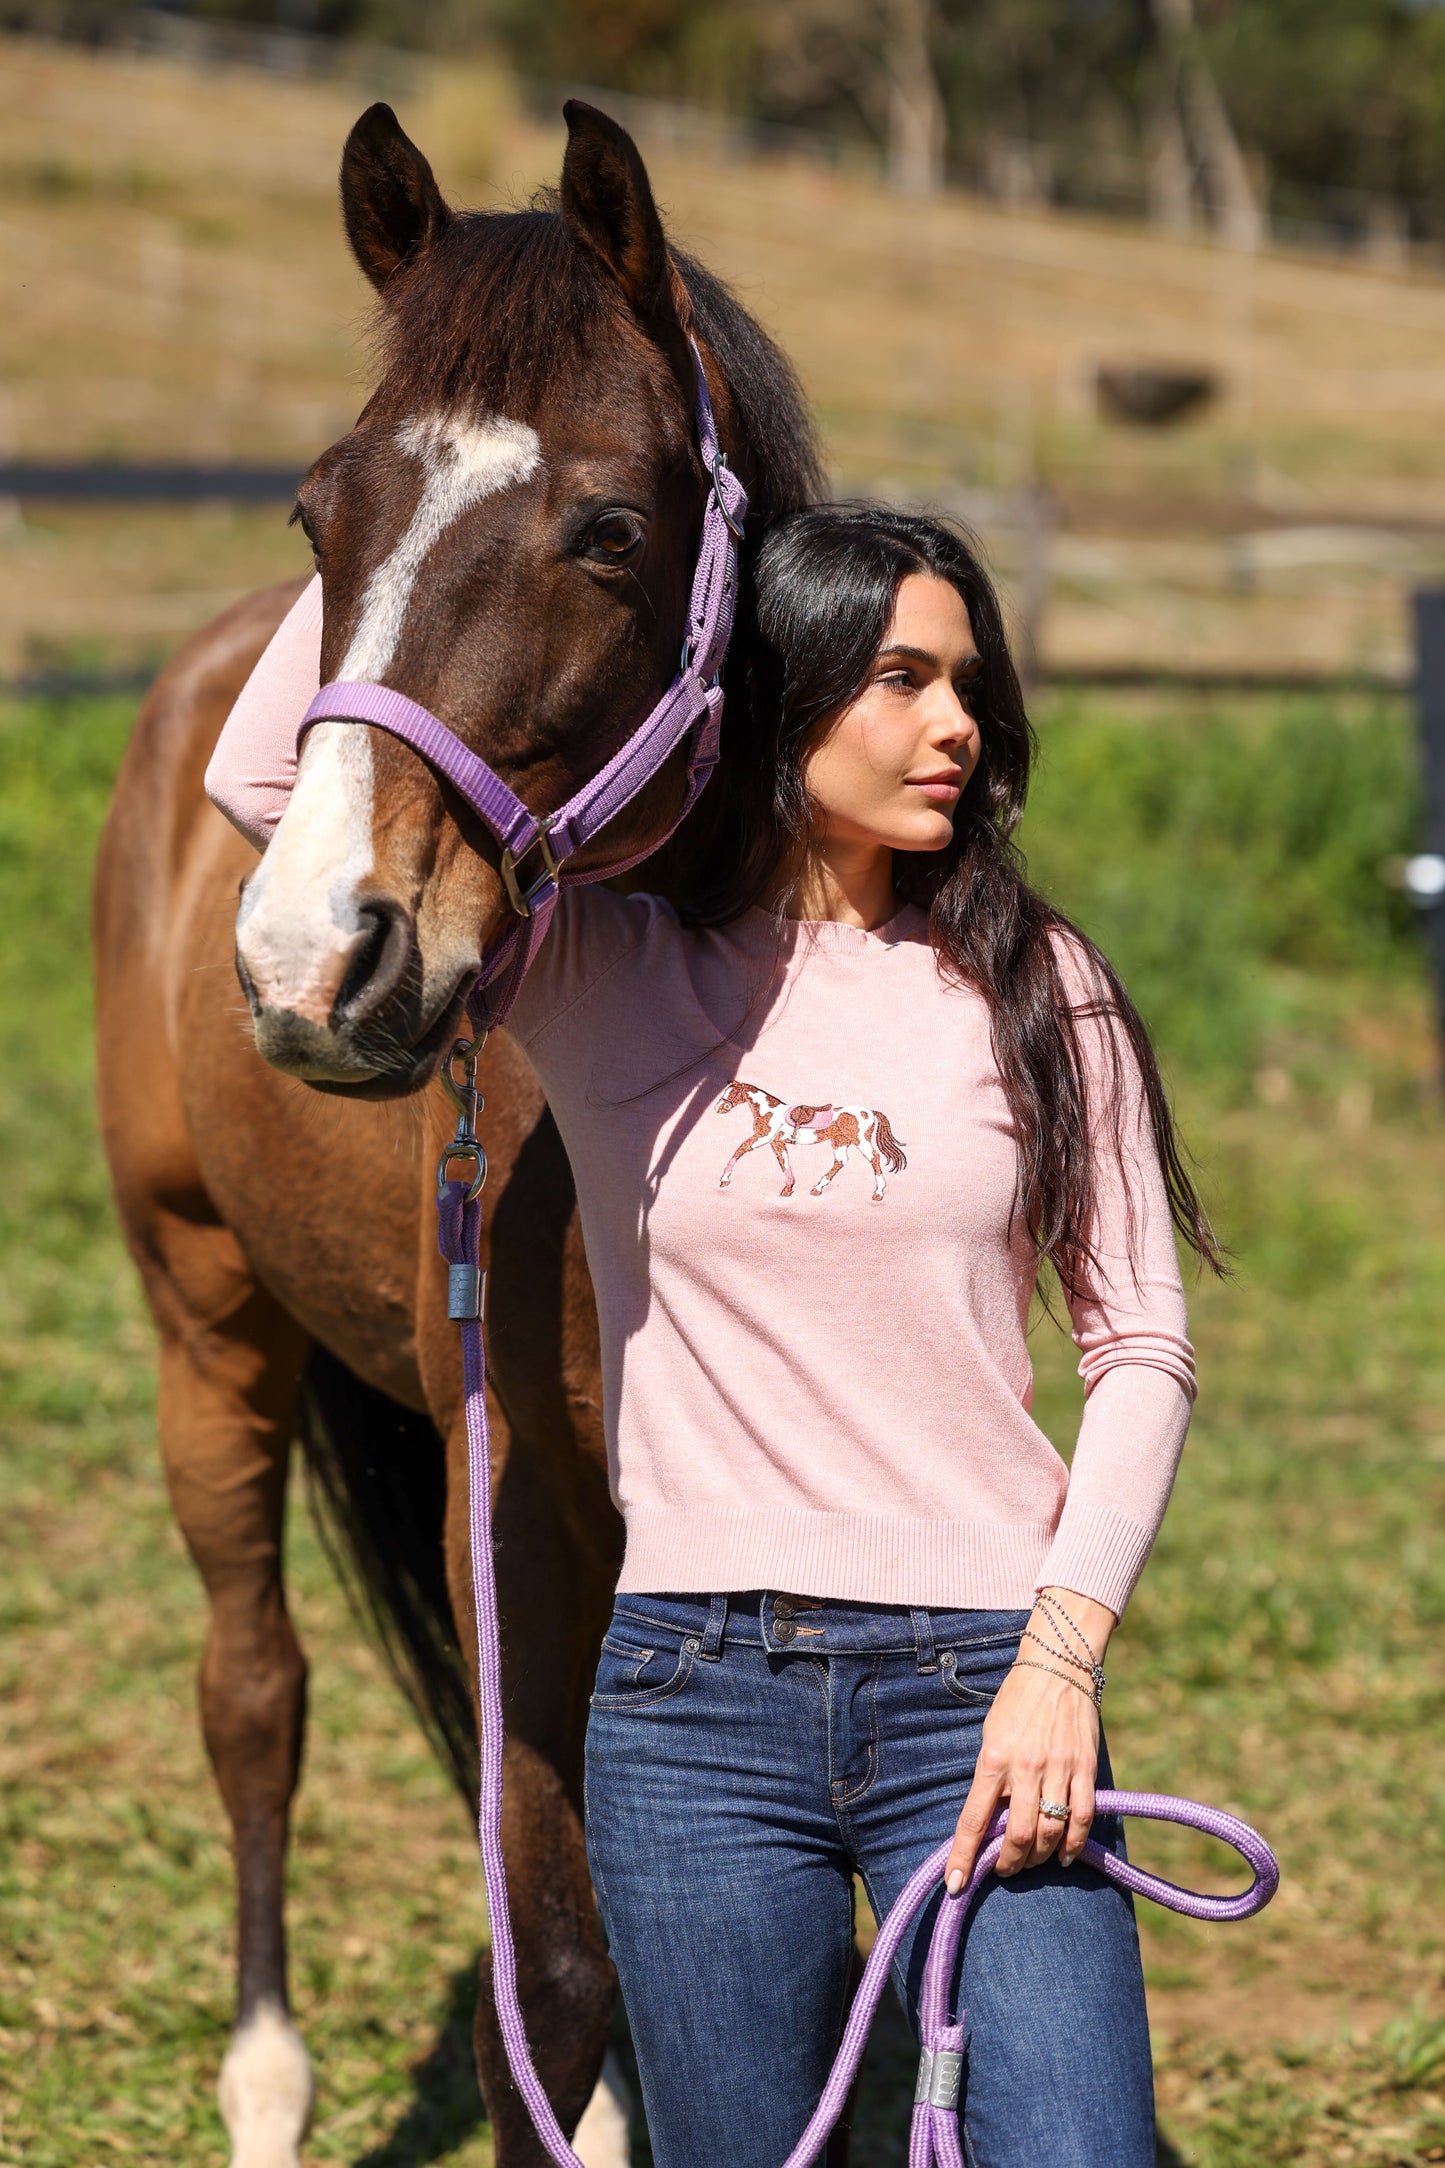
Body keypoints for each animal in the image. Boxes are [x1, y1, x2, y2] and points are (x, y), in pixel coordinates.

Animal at [93, 98, 820, 2168]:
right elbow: (551, 1976)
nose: (312, 956)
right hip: (207, 1325)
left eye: (613, 529)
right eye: (317, 514)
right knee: (255, 1696)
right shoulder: (513, 1493)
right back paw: (264, 2085)